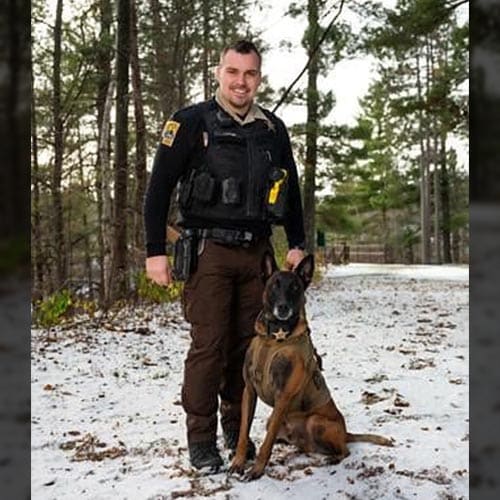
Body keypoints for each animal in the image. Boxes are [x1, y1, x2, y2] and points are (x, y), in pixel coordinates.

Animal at [229, 254, 392, 480]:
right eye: (274, 285)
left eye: (295, 287)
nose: (283, 307)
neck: (274, 337)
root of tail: (346, 432)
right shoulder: (250, 391)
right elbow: (243, 433)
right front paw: (238, 462)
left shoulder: (283, 396)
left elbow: (266, 443)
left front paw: (257, 469)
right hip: (277, 421)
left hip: (315, 421)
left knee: (344, 450)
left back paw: (331, 458)